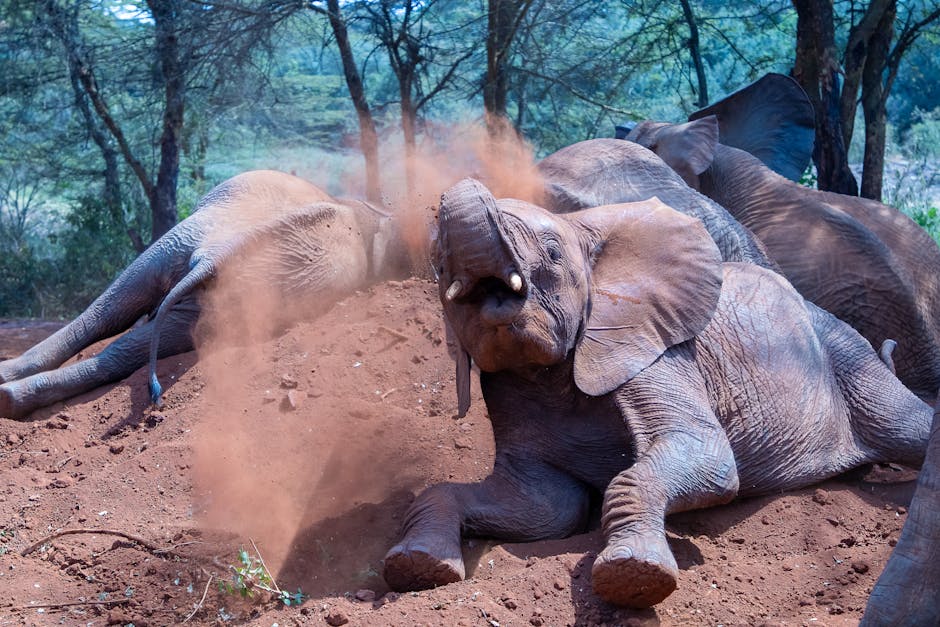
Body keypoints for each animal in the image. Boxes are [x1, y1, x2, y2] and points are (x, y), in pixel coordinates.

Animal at [0, 170, 409, 420]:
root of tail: (216, 254)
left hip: (223, 276)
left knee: (114, 321)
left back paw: (9, 391)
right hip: (204, 242)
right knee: (113, 310)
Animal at [381, 178, 932, 608]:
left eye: (553, 254)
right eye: (439, 267)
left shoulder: (657, 353)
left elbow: (708, 461)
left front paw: (632, 578)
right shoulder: (511, 390)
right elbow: (545, 504)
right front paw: (417, 567)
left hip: (848, 354)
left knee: (906, 427)